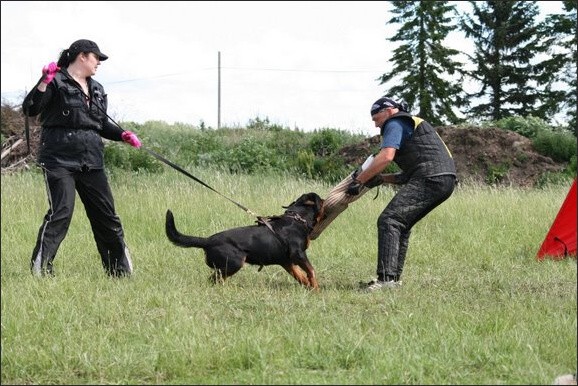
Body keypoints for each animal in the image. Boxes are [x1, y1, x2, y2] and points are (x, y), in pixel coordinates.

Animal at [165, 193, 324, 290]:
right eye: (322, 200)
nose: (325, 200)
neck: (297, 219)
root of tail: (207, 241)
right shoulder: (298, 254)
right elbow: (311, 271)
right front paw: (316, 289)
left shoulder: (287, 261)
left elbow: (300, 275)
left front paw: (309, 287)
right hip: (235, 262)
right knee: (214, 279)